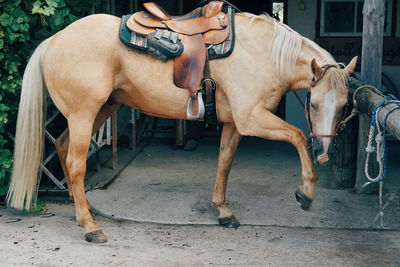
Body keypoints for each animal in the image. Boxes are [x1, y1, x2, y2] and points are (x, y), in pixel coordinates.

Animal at [6, 12, 356, 243]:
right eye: (314, 104)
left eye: (344, 105)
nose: (325, 152)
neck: (263, 54)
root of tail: (54, 39)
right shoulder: (251, 118)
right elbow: (297, 136)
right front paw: (305, 193)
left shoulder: (236, 124)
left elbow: (225, 163)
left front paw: (223, 211)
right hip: (83, 114)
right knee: (77, 163)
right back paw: (91, 228)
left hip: (102, 110)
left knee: (63, 146)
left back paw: (84, 213)